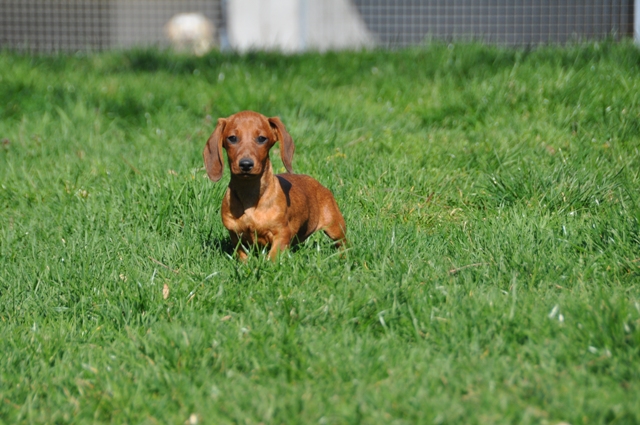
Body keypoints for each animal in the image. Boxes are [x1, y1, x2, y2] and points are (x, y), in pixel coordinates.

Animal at [204, 111, 344, 260]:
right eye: (232, 138)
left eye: (261, 138)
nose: (246, 164)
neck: (250, 195)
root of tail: (318, 184)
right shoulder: (236, 235)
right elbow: (242, 256)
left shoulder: (281, 233)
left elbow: (272, 257)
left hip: (335, 226)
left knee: (343, 243)